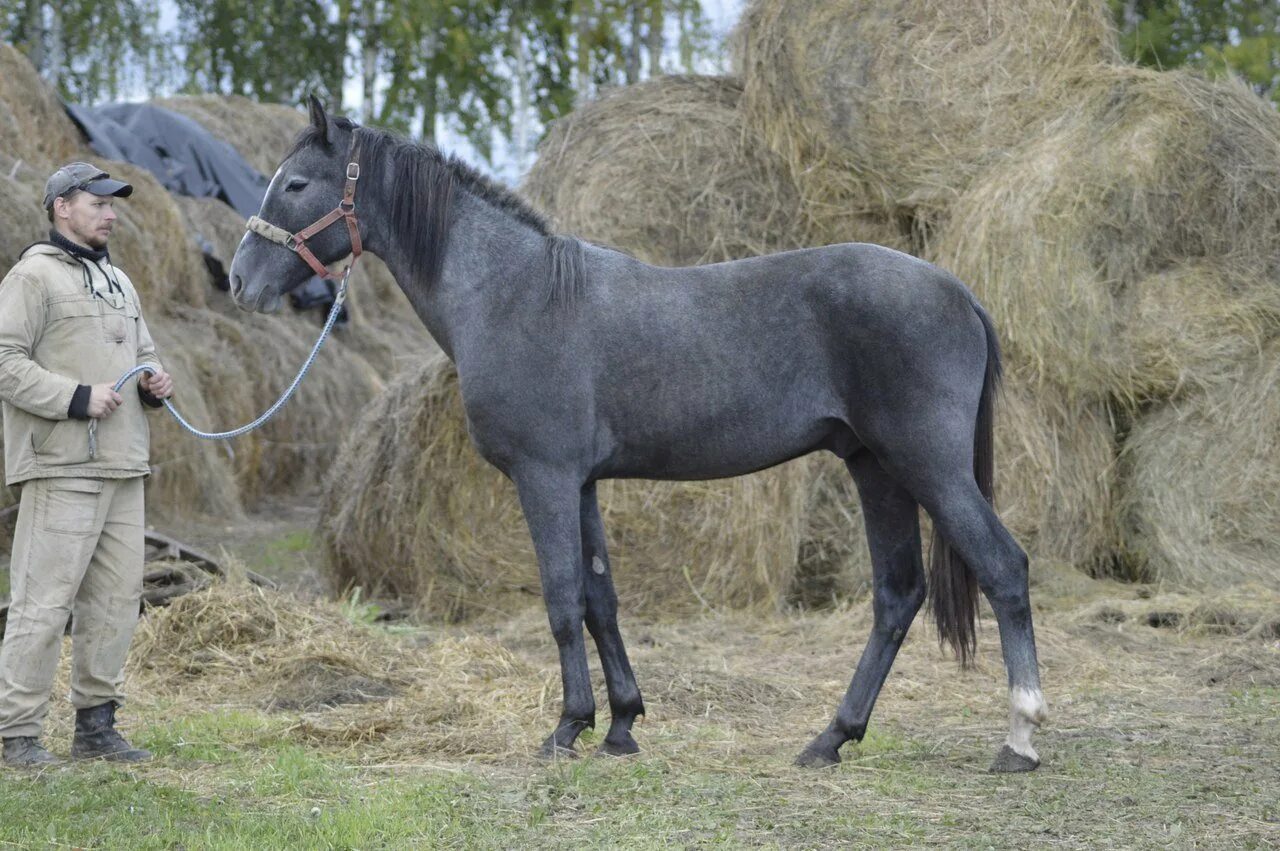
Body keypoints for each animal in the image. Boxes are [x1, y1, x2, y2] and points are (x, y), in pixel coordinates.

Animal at [230, 99, 1044, 767]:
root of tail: (959, 291)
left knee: (1003, 568)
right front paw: (620, 724)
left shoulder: (546, 478)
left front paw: (566, 727)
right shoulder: (584, 484)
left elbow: (562, 599)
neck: (514, 292)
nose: (240, 282)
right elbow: (602, 600)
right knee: (896, 595)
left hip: (928, 466)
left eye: (295, 184)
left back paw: (1020, 737)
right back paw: (831, 738)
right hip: (876, 468)